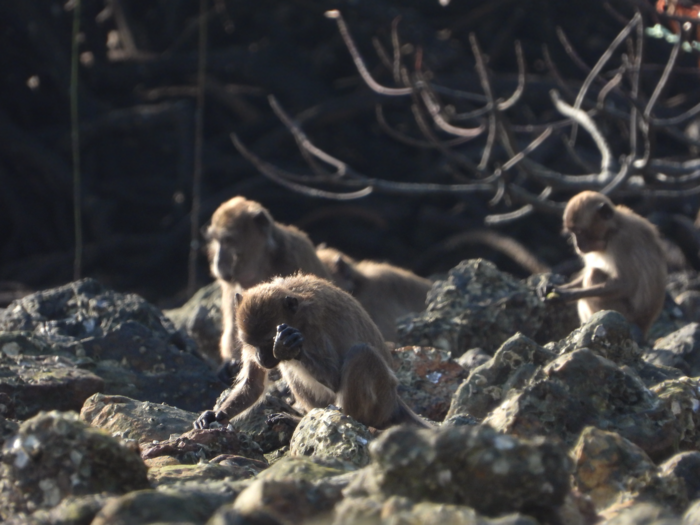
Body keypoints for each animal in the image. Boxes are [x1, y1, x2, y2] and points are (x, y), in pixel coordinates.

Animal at [193, 273, 430, 430]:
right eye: (252, 343)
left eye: (268, 342)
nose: (260, 357)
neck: (297, 316)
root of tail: (395, 402)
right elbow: (253, 385)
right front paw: (215, 416)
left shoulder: (314, 329)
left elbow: (335, 378)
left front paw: (286, 347)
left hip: (381, 400)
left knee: (361, 354)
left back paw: (349, 420)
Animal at [204, 196, 332, 380]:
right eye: (216, 241)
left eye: (228, 240)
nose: (218, 261)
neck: (262, 263)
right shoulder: (231, 285)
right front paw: (229, 363)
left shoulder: (294, 255)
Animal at [542, 191, 667, 336]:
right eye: (572, 232)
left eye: (579, 231)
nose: (577, 245)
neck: (613, 229)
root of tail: (645, 324)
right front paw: (553, 287)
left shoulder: (621, 241)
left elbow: (626, 284)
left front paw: (567, 295)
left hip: (626, 314)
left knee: (593, 274)